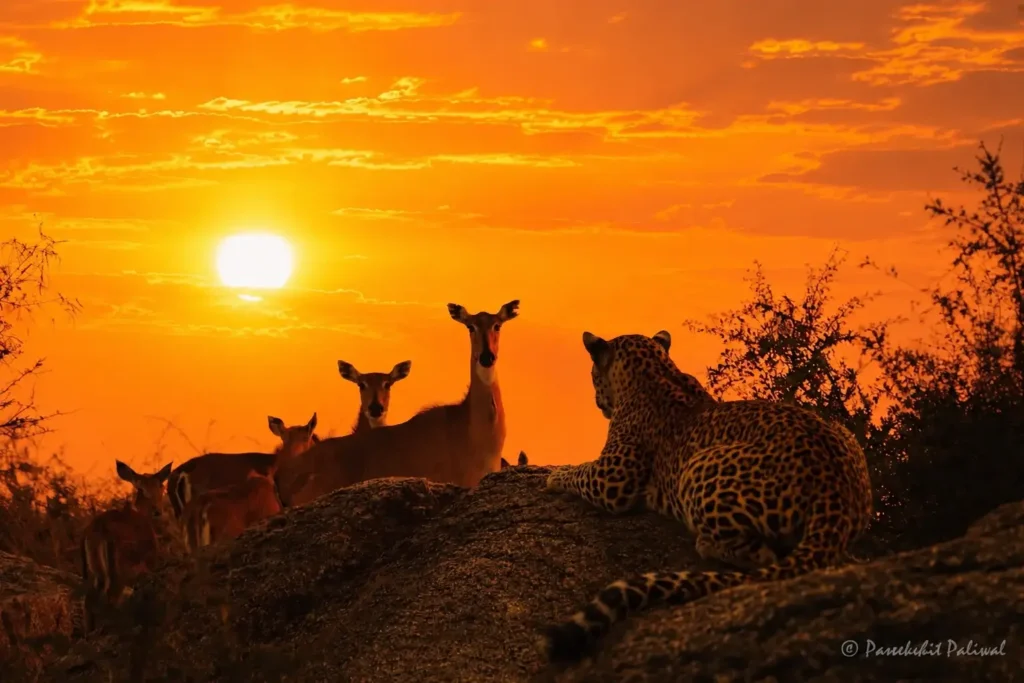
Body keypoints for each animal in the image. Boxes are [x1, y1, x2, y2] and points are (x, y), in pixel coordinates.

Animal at [541, 329, 873, 663]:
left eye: (593, 374)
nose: (598, 402)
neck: (655, 371)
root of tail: (835, 492)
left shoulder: (614, 477)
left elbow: (582, 472)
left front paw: (555, 475)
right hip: (844, 436)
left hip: (698, 466)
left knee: (761, 554)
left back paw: (706, 544)